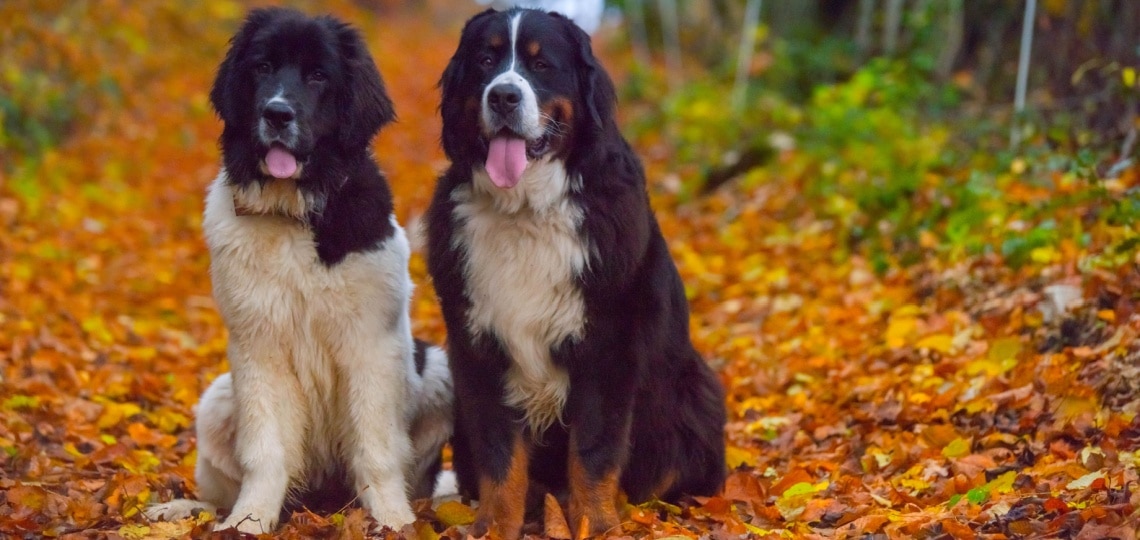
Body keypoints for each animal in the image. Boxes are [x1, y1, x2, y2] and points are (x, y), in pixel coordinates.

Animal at [147, 8, 453, 535]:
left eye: (317, 76)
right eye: (263, 67)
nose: (276, 113)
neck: (292, 211)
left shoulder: (371, 346)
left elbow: (376, 448)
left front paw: (393, 520)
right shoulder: (258, 347)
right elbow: (265, 450)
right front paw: (248, 522)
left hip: (436, 368)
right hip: (217, 399)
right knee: (219, 490)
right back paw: (184, 509)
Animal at [424, 8, 725, 540]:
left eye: (542, 65)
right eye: (486, 60)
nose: (503, 95)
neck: (525, 211)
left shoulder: (607, 348)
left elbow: (593, 453)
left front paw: (596, 524)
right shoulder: (477, 350)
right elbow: (499, 456)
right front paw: (494, 526)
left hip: (693, 392)